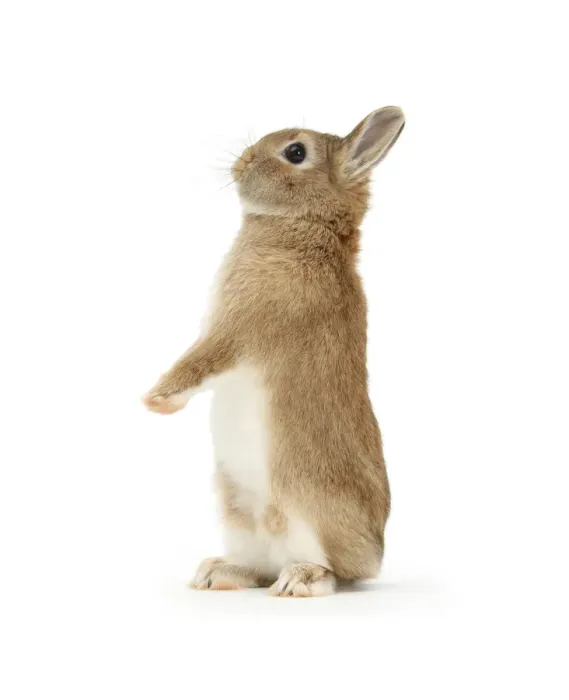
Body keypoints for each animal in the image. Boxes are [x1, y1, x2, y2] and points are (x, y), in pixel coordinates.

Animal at [143, 106, 405, 596]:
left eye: (295, 152)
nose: (242, 162)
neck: (307, 225)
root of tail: (372, 558)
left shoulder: (237, 327)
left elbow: (201, 361)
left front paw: (157, 401)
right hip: (236, 508)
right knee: (259, 564)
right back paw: (217, 572)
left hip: (303, 502)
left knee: (331, 572)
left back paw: (300, 579)